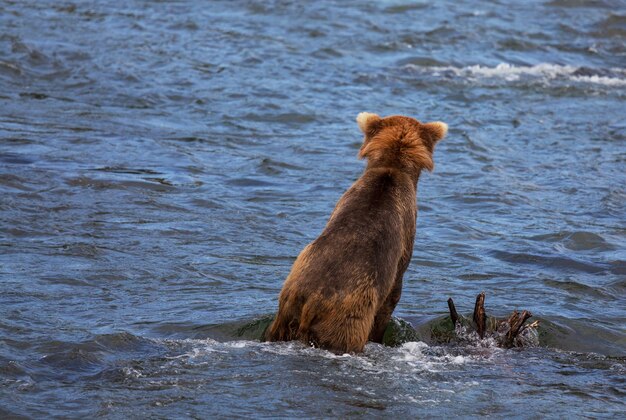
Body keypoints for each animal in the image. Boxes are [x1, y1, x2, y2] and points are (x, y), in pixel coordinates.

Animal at [266, 113, 446, 352]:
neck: (393, 167)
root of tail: (311, 302)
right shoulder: (406, 233)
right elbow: (393, 294)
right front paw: (379, 335)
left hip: (287, 306)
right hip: (347, 318)